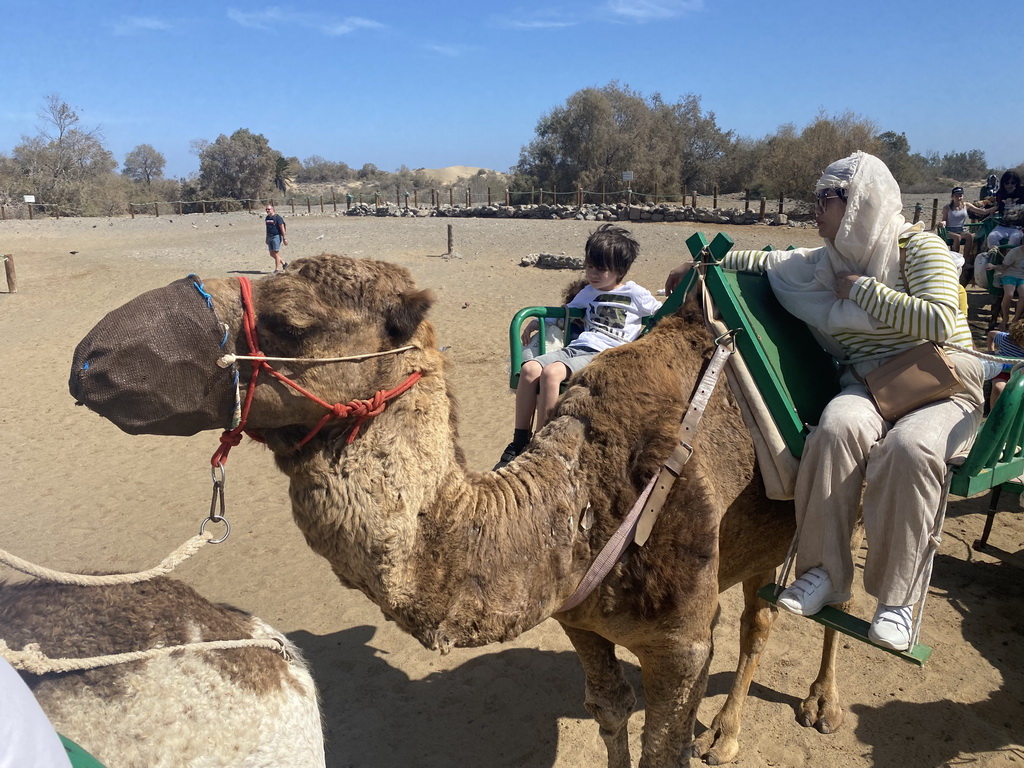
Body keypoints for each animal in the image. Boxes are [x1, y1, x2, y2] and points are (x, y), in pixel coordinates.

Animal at [66, 257, 847, 768]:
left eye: (291, 322)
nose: (92, 360)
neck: (585, 501)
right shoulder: (579, 616)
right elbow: (608, 711)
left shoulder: (683, 644)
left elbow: (666, 742)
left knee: (805, 606)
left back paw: (797, 713)